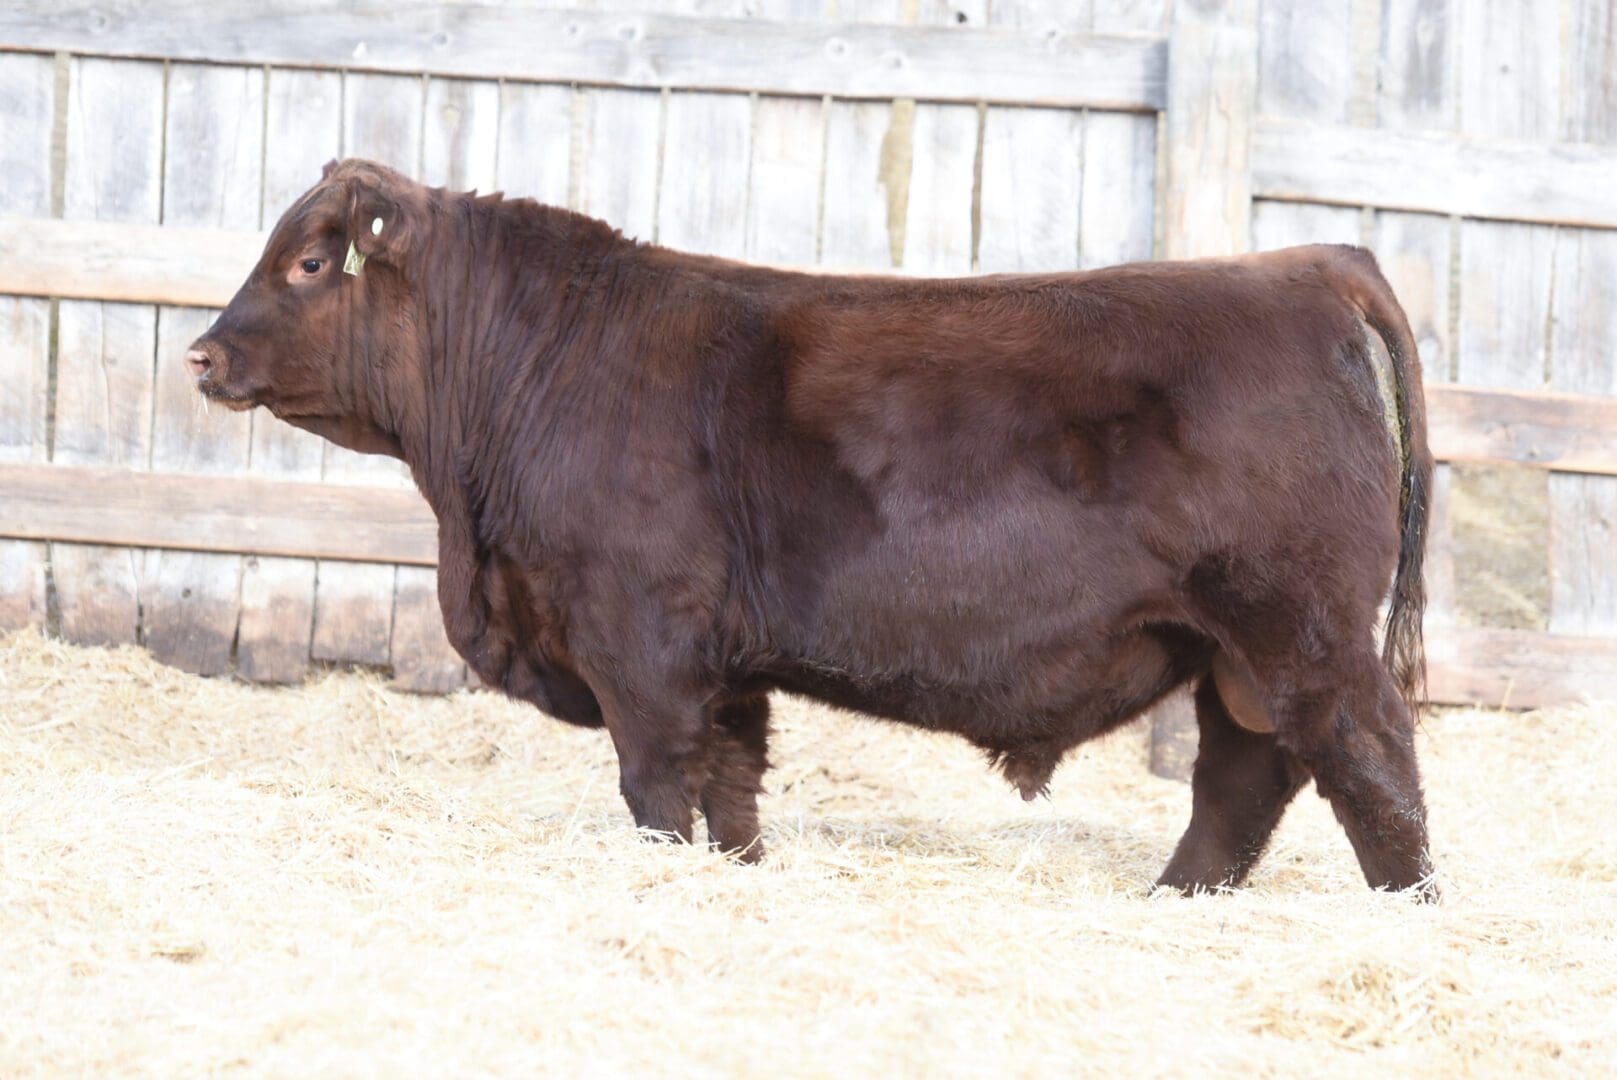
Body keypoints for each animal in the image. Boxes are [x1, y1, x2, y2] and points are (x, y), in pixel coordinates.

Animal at [187, 159, 1436, 896]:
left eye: (309, 261)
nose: (201, 353)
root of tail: (1309, 263)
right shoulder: (726, 666)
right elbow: (732, 791)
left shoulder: (638, 642)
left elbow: (658, 789)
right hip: (1238, 651)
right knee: (1245, 775)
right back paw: (1176, 900)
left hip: (1301, 623)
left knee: (1368, 757)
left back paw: (1407, 909)